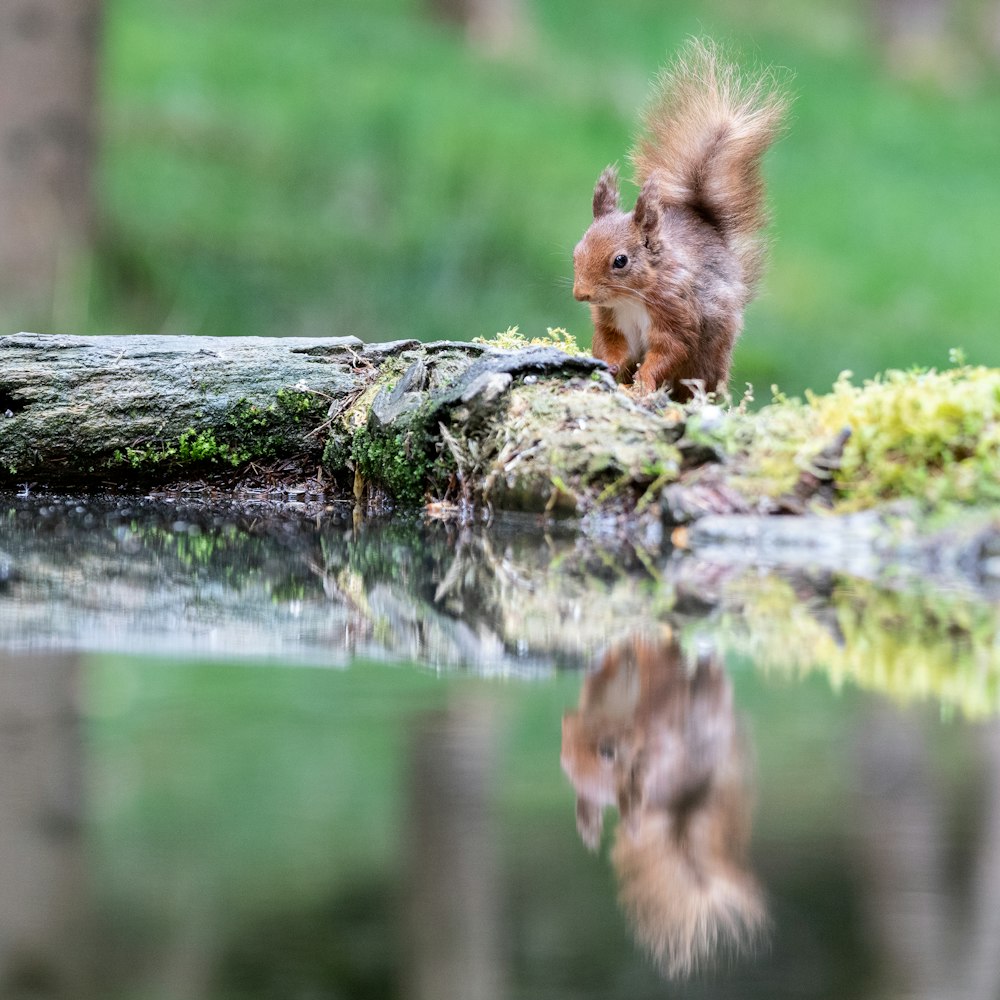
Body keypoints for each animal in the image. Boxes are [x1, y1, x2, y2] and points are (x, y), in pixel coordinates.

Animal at [572, 40, 788, 398]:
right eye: (576, 252)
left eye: (621, 261)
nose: (581, 295)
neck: (632, 297)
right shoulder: (612, 322)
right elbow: (615, 347)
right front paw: (608, 369)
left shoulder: (677, 313)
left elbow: (669, 352)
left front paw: (642, 386)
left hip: (709, 359)